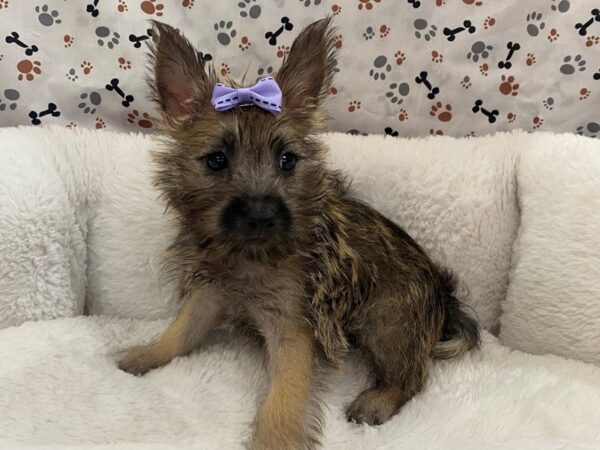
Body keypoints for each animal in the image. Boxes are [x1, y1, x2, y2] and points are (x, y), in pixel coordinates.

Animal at [119, 17, 480, 450]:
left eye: (287, 160)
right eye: (216, 161)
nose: (261, 216)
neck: (250, 255)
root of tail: (445, 296)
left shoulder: (292, 330)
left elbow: (284, 398)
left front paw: (272, 441)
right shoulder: (209, 294)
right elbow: (181, 332)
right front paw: (146, 355)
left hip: (388, 322)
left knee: (414, 375)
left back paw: (377, 400)